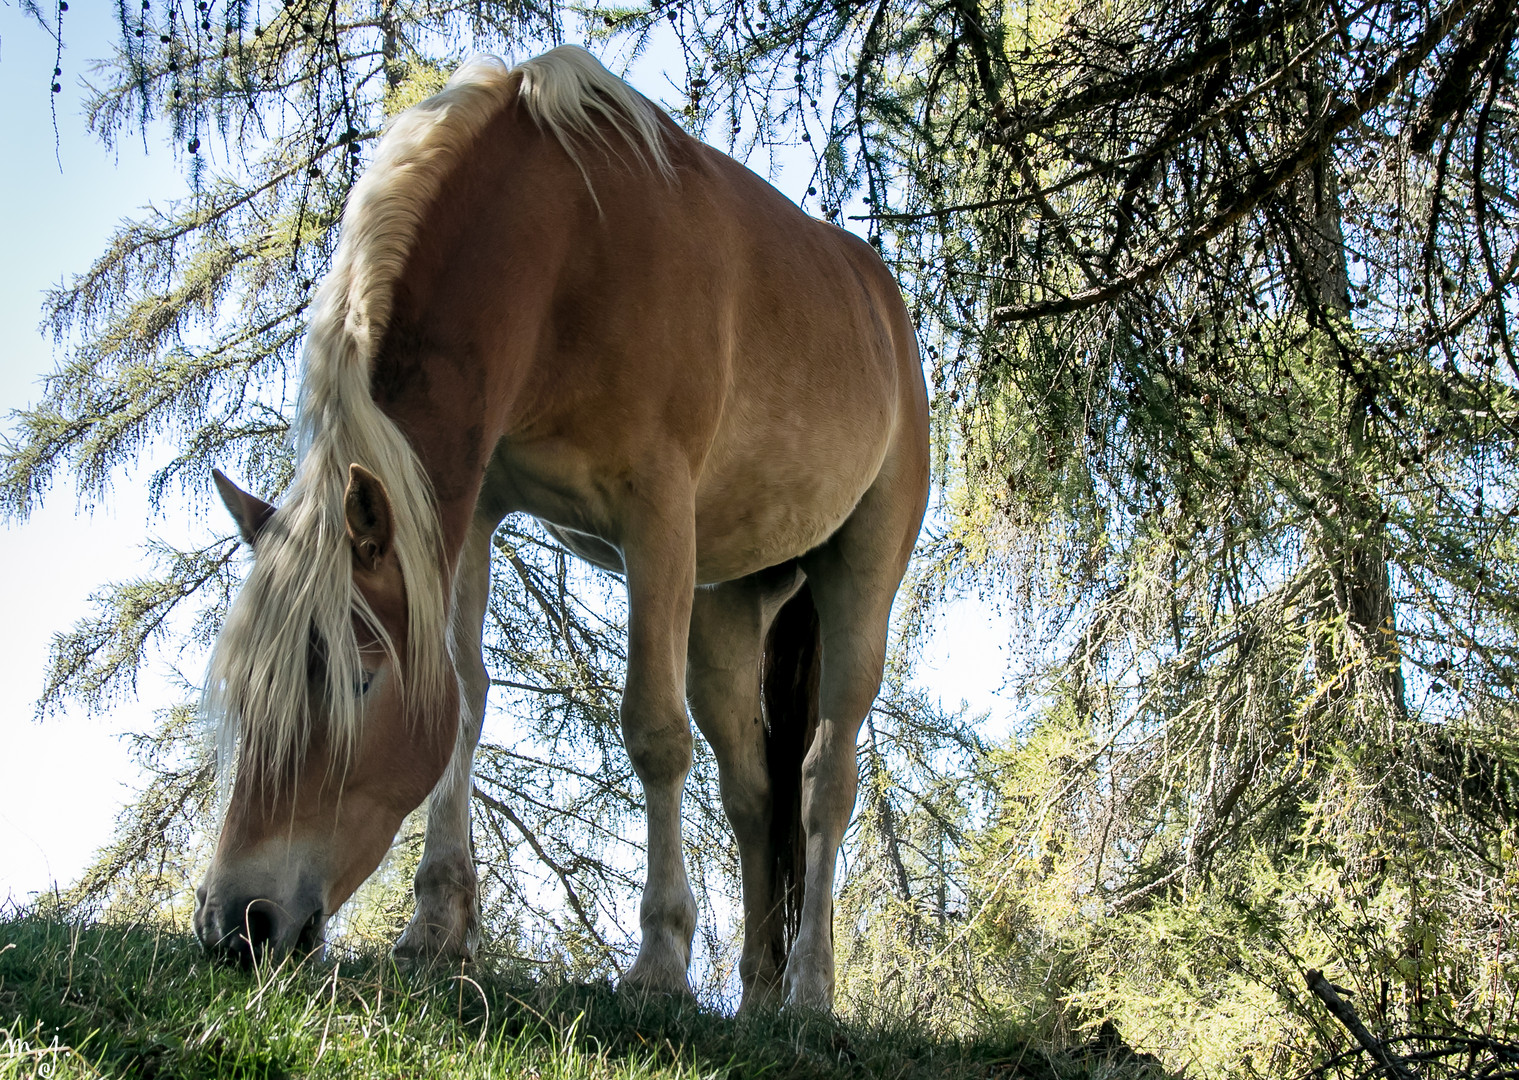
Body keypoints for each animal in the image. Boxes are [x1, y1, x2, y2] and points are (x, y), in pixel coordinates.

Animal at [189, 44, 923, 1014]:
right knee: (753, 796)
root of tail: (882, 301)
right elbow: (464, 702)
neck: (569, 248)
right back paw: (758, 998)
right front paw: (436, 929)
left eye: (355, 680)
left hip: (857, 579)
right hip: (723, 610)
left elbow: (653, 735)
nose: (237, 923)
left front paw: (658, 962)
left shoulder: (656, 519)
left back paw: (806, 990)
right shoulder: (470, 514)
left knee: (821, 784)